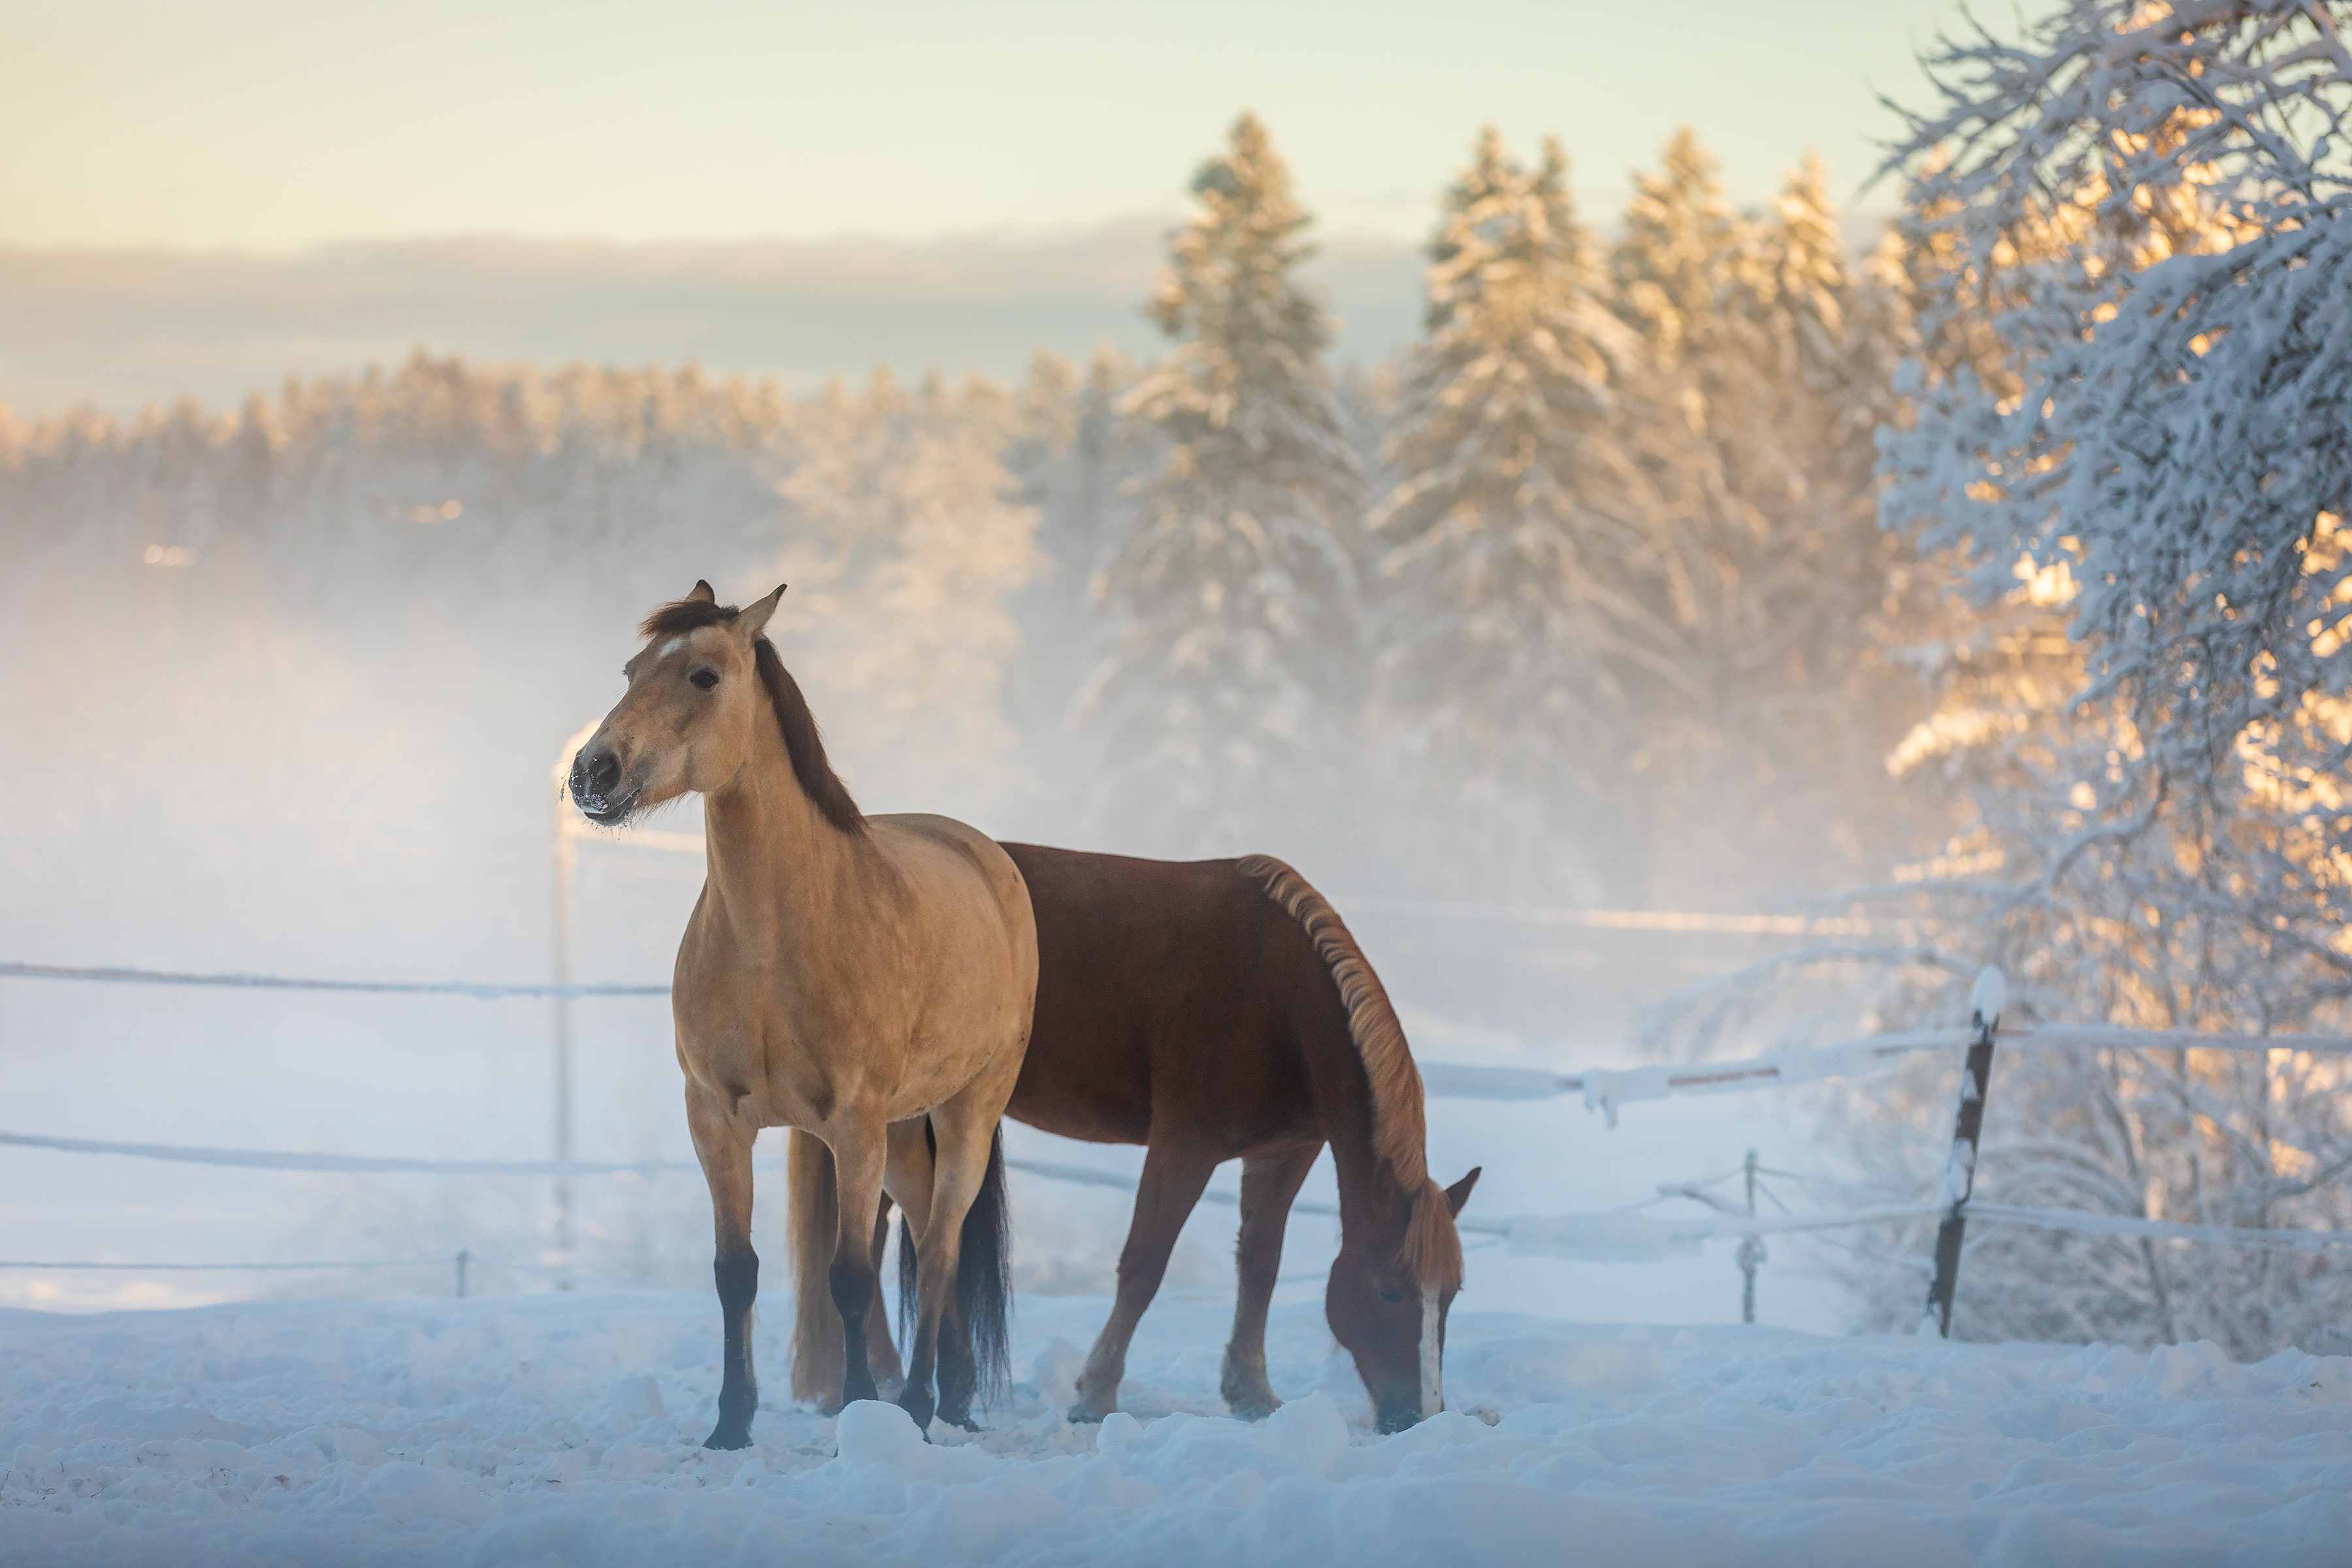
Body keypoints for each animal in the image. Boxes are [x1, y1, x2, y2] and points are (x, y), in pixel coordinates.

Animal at [566, 585, 1030, 1448]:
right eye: (631, 669)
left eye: (705, 676)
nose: (591, 772)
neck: (769, 944)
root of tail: (987, 857)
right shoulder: (716, 1120)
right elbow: (735, 1274)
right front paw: (731, 1422)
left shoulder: (851, 1124)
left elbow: (848, 1276)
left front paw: (857, 1406)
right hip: (902, 1136)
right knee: (930, 1237)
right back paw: (952, 1398)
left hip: (965, 1115)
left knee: (942, 1249)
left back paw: (922, 1404)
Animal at [800, 846, 1477, 1439]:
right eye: (1388, 1290)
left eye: (1450, 1296)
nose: (1418, 1416)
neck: (1277, 991)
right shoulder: (1184, 1145)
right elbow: (1145, 1265)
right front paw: (1095, 1393)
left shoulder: (1284, 1152)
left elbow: (1260, 1265)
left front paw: (1252, 1393)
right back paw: (886, 1382)